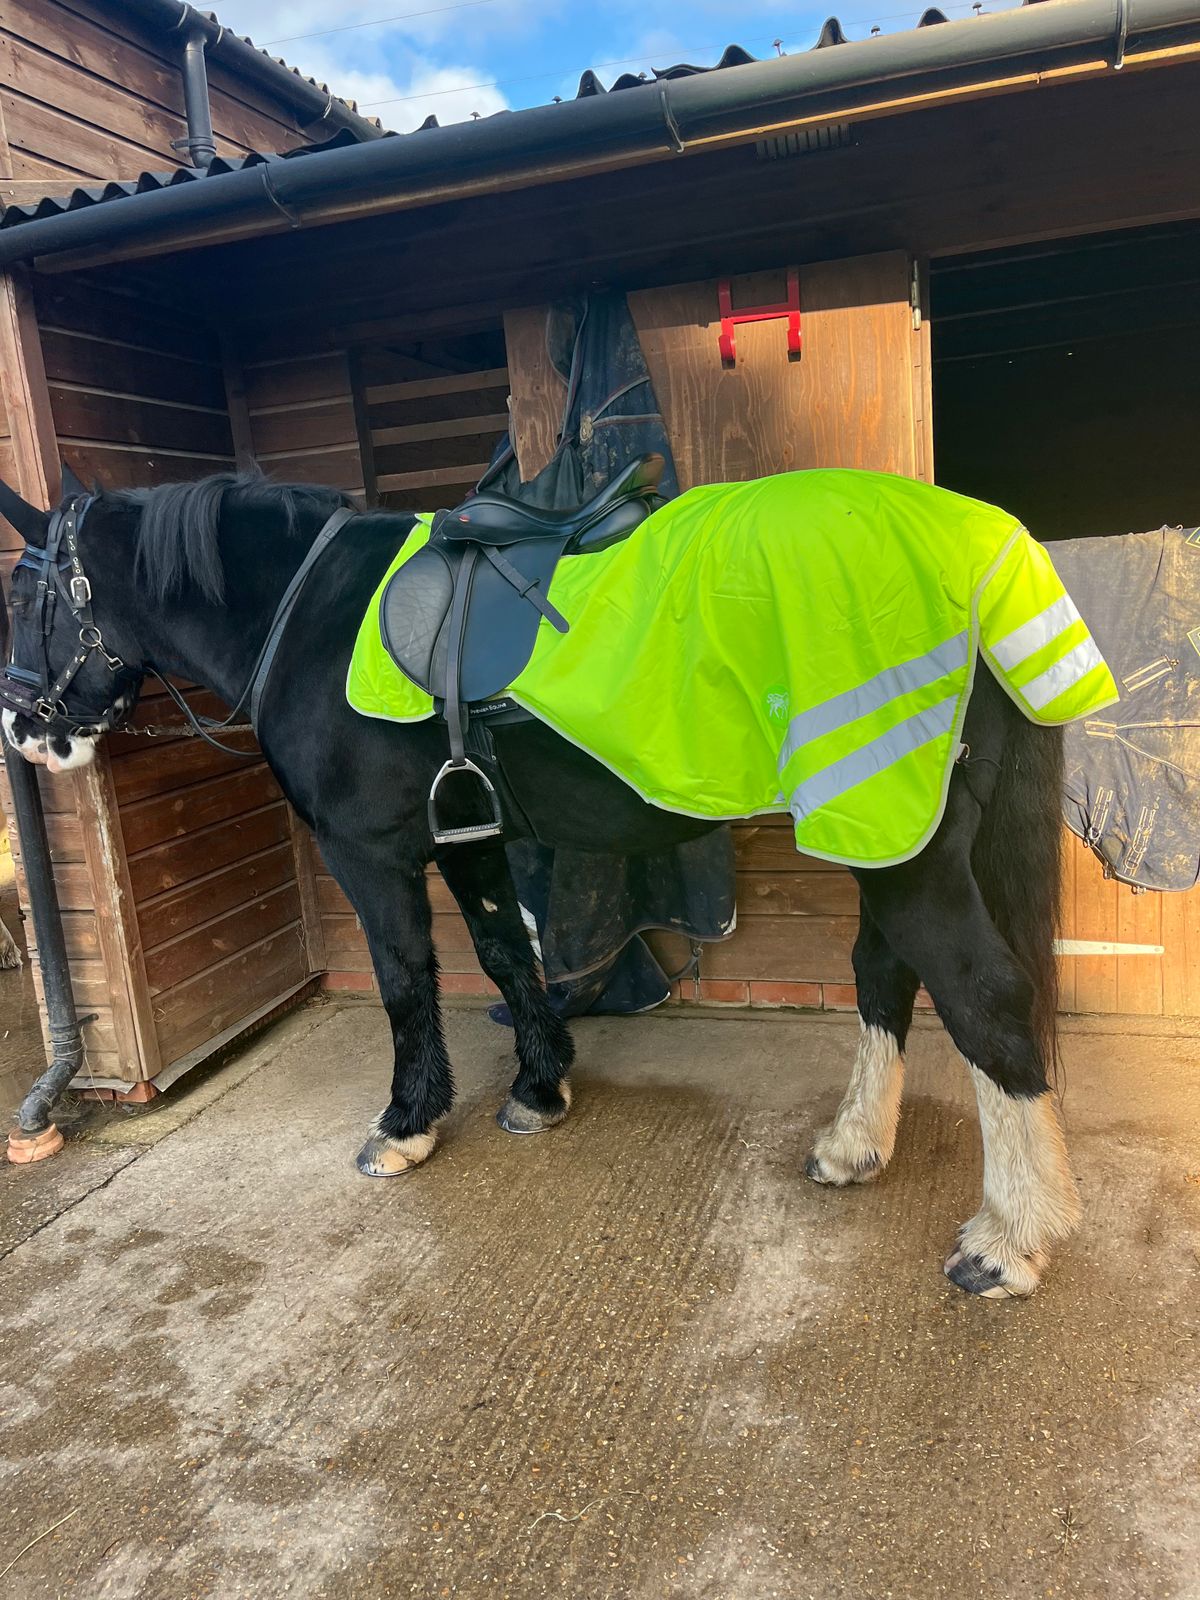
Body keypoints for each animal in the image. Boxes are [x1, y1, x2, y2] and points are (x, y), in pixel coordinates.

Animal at [0, 471, 1083, 1301]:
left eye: (20, 595)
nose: (22, 726)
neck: (306, 610)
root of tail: (983, 544)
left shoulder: (369, 852)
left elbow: (406, 981)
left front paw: (407, 1124)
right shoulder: (468, 835)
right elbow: (502, 953)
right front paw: (539, 1083)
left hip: (902, 840)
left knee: (984, 996)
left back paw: (1008, 1242)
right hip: (884, 828)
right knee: (884, 975)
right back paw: (856, 1148)